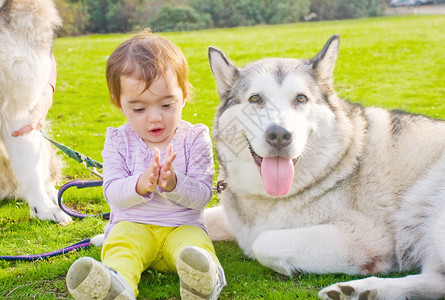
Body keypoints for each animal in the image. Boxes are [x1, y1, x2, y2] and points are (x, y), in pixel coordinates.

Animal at [205, 35, 444, 300]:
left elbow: (262, 242)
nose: (279, 135)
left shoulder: (365, 236)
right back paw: (363, 291)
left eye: (301, 98)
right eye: (256, 98)